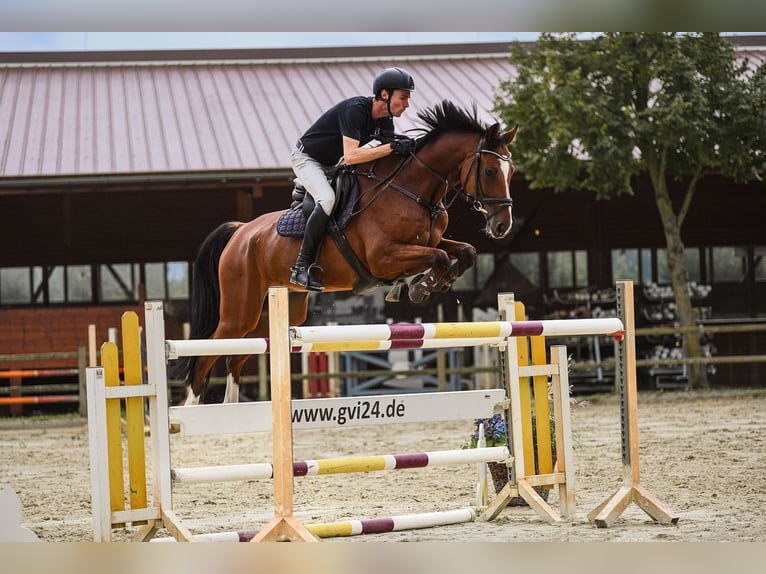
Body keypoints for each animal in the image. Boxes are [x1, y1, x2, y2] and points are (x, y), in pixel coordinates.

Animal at [181, 100, 520, 404]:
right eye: (490, 171)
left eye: (512, 170)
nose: (502, 225)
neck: (413, 190)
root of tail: (241, 231)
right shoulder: (384, 258)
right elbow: (436, 257)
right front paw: (419, 287)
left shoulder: (431, 241)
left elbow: (465, 252)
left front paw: (435, 281)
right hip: (239, 310)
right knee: (205, 356)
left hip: (273, 312)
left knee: (235, 356)